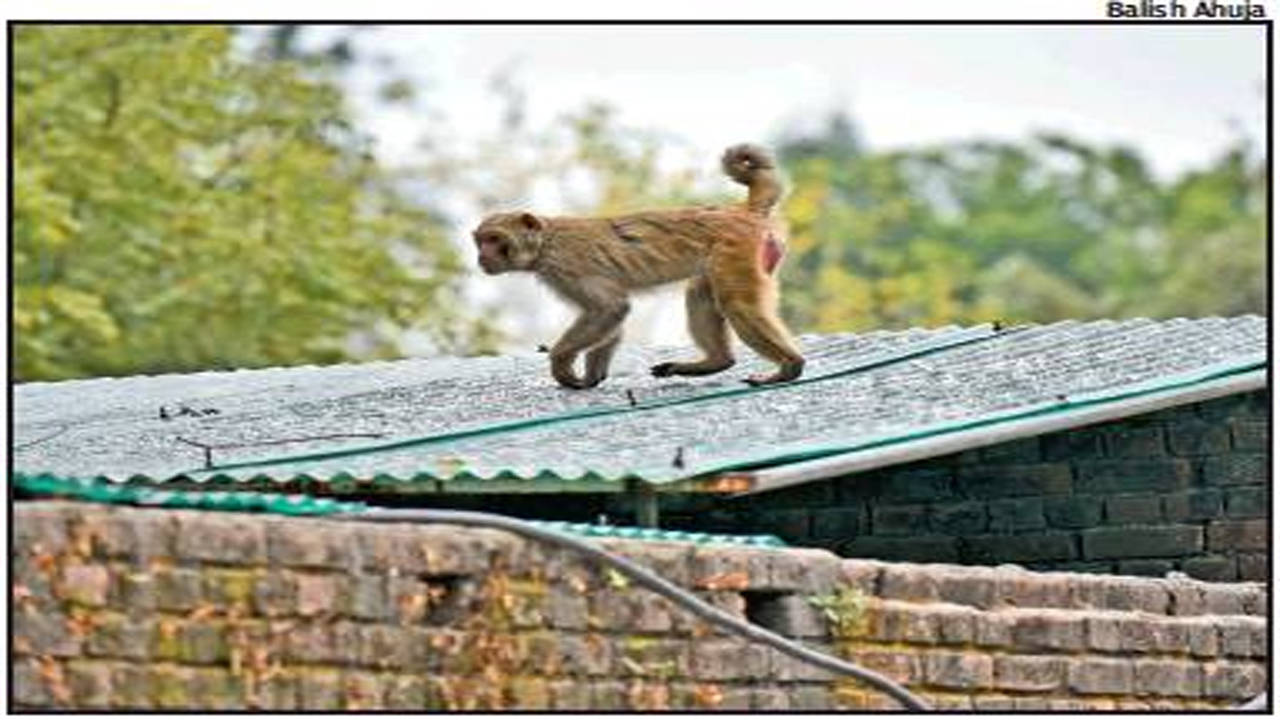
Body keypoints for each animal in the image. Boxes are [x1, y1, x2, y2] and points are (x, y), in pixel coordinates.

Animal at [476, 142, 803, 389]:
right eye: (479, 241)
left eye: (494, 239)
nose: (482, 256)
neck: (546, 242)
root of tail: (741, 211)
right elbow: (611, 318)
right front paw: (592, 375)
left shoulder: (565, 267)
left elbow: (609, 307)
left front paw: (561, 364)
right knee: (700, 292)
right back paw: (716, 362)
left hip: (736, 250)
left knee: (735, 303)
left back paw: (790, 366)